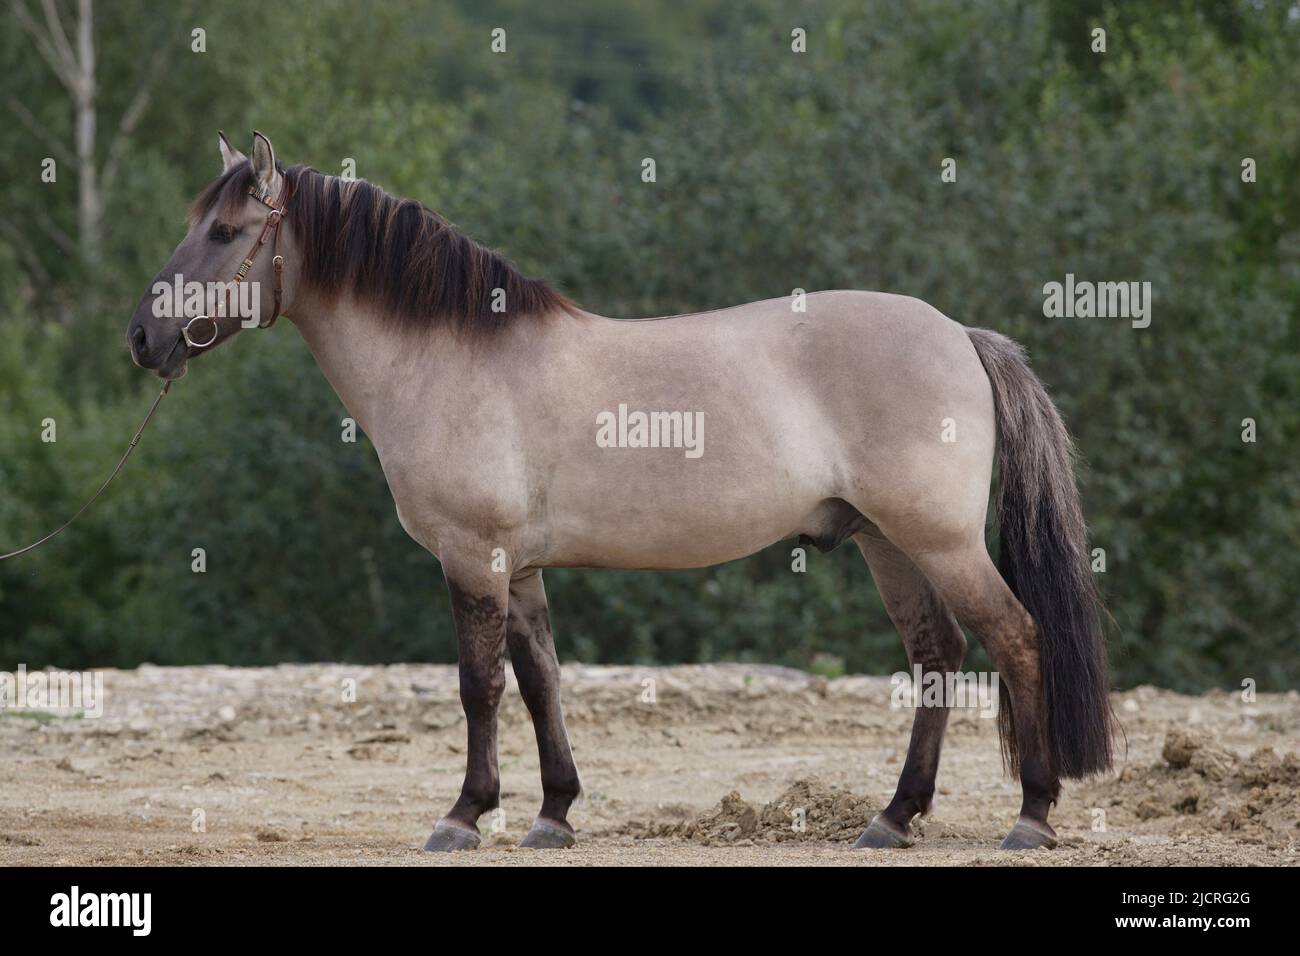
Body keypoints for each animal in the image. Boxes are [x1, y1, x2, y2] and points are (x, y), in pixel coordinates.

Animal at [127, 132, 1113, 852]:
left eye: (223, 234)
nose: (143, 338)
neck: (452, 359)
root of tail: (961, 335)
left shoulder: (473, 557)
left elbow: (479, 688)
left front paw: (463, 816)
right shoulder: (519, 567)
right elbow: (540, 682)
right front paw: (551, 813)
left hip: (936, 539)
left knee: (1015, 638)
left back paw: (1031, 815)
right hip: (885, 542)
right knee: (937, 657)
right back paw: (893, 817)